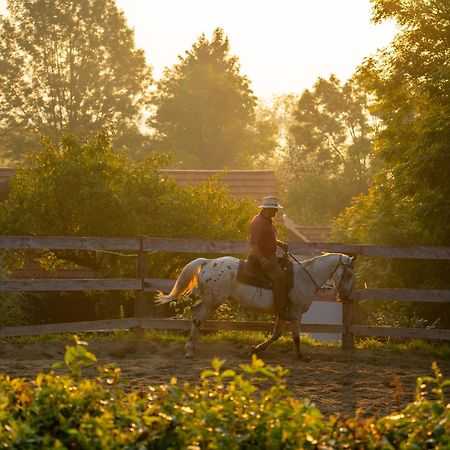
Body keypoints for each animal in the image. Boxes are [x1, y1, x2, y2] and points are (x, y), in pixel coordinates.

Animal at [156, 253, 356, 358]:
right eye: (349, 274)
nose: (345, 295)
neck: (304, 277)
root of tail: (207, 262)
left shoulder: (284, 313)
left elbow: (276, 334)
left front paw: (257, 348)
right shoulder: (296, 312)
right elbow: (296, 336)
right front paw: (301, 356)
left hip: (208, 300)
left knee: (194, 313)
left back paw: (190, 347)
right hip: (213, 301)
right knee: (198, 319)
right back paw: (190, 349)